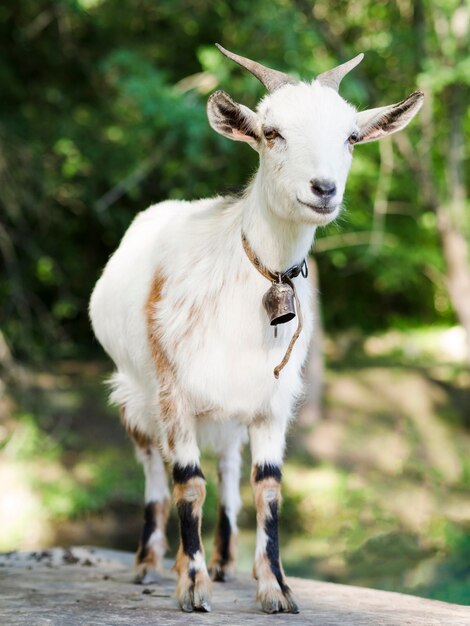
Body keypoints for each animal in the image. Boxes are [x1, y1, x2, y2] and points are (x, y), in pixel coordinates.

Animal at [88, 46, 422, 612]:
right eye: (272, 132)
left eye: (352, 137)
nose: (324, 189)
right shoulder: (174, 391)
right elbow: (187, 483)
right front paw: (192, 585)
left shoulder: (272, 400)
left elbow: (267, 486)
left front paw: (275, 587)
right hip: (134, 392)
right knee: (155, 466)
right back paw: (149, 562)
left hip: (225, 408)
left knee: (225, 464)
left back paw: (223, 561)